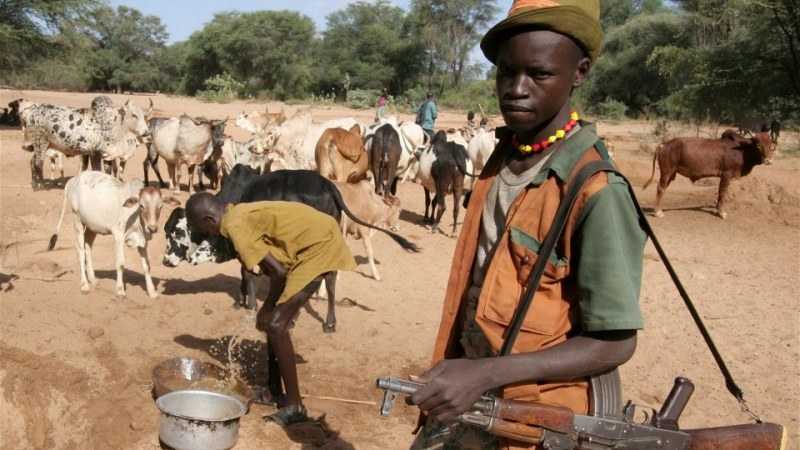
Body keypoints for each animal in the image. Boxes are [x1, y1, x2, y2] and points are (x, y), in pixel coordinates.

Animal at [23, 96, 152, 190]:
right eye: (134, 115)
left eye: (144, 116)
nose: (146, 132)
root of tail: (34, 111)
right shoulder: (95, 153)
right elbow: (98, 171)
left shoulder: (107, 154)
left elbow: (108, 171)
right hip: (41, 142)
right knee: (38, 163)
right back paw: (42, 186)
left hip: (42, 145)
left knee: (32, 161)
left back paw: (35, 185)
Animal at [48, 171, 180, 299]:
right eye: (142, 206)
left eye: (160, 206)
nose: (152, 228)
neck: (136, 216)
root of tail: (74, 179)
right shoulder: (118, 236)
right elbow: (120, 263)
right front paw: (120, 290)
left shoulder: (143, 240)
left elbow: (146, 266)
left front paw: (152, 292)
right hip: (77, 220)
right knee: (80, 251)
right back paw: (84, 285)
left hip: (92, 227)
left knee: (88, 247)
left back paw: (93, 280)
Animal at [162, 166, 419, 317]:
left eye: (177, 232)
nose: (165, 261)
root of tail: (328, 185)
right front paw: (242, 301)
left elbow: (246, 273)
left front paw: (248, 304)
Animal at [642, 132, 774, 219]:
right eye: (759, 145)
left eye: (771, 146)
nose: (768, 161)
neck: (742, 150)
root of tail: (664, 144)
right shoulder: (726, 174)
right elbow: (723, 192)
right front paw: (722, 212)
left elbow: (720, 193)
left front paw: (717, 209)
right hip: (666, 172)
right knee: (660, 188)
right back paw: (657, 212)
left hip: (671, 174)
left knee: (663, 189)